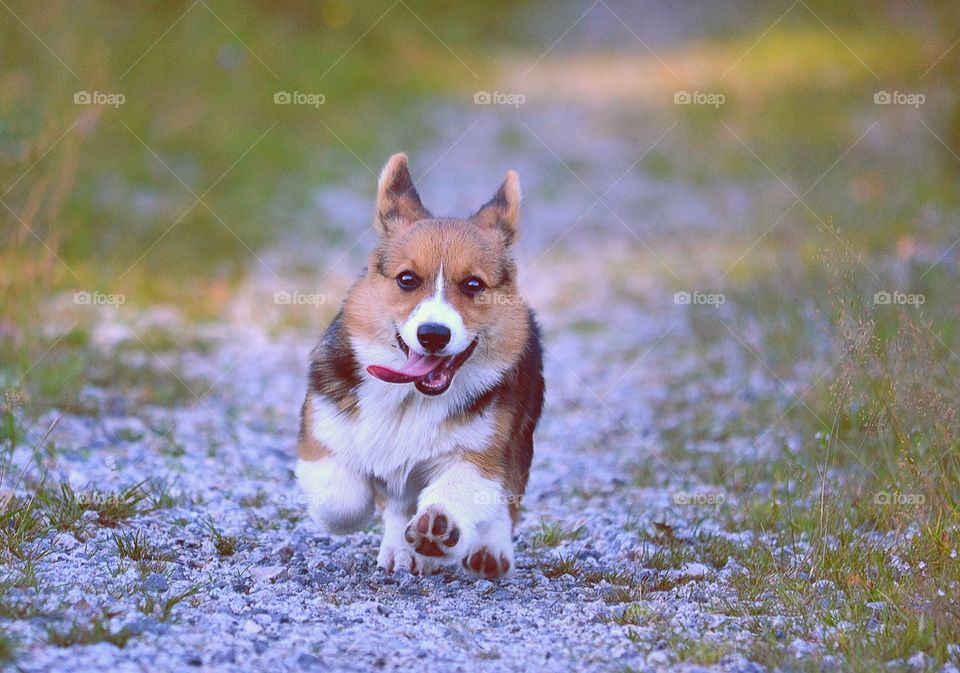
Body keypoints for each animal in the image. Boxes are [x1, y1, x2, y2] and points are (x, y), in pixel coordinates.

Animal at [296, 154, 544, 576]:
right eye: (407, 279)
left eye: (473, 285)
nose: (433, 335)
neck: (409, 398)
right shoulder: (324, 430)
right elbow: (343, 503)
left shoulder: (479, 455)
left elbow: (462, 492)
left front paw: (439, 531)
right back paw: (401, 548)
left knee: (504, 500)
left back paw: (488, 551)